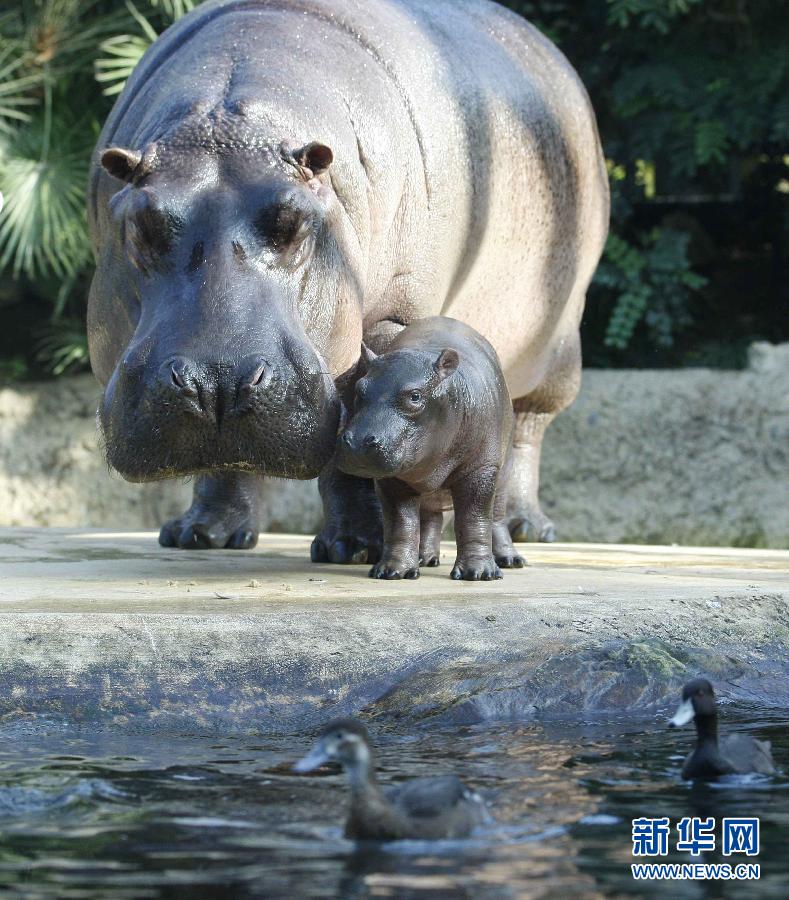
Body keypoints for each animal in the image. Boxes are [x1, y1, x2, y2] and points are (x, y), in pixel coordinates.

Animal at [336, 318, 520, 584]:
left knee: (496, 518)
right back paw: (425, 559)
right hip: (430, 492)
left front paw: (478, 574)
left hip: (503, 474)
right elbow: (402, 523)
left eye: (415, 396)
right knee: (431, 518)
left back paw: (510, 561)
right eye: (360, 389)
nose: (358, 442)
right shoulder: (393, 479)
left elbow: (474, 518)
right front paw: (393, 571)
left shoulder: (480, 469)